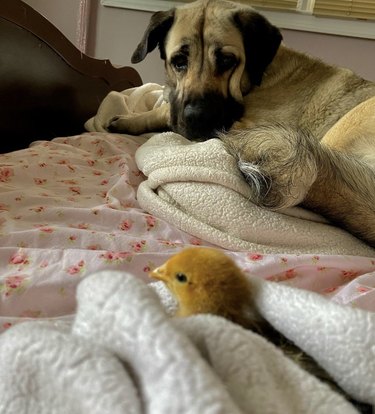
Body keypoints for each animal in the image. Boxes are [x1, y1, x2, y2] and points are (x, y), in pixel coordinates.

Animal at [110, 0, 375, 246]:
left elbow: (166, 111)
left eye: (227, 60)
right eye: (179, 61)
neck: (261, 75)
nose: (197, 117)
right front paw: (129, 119)